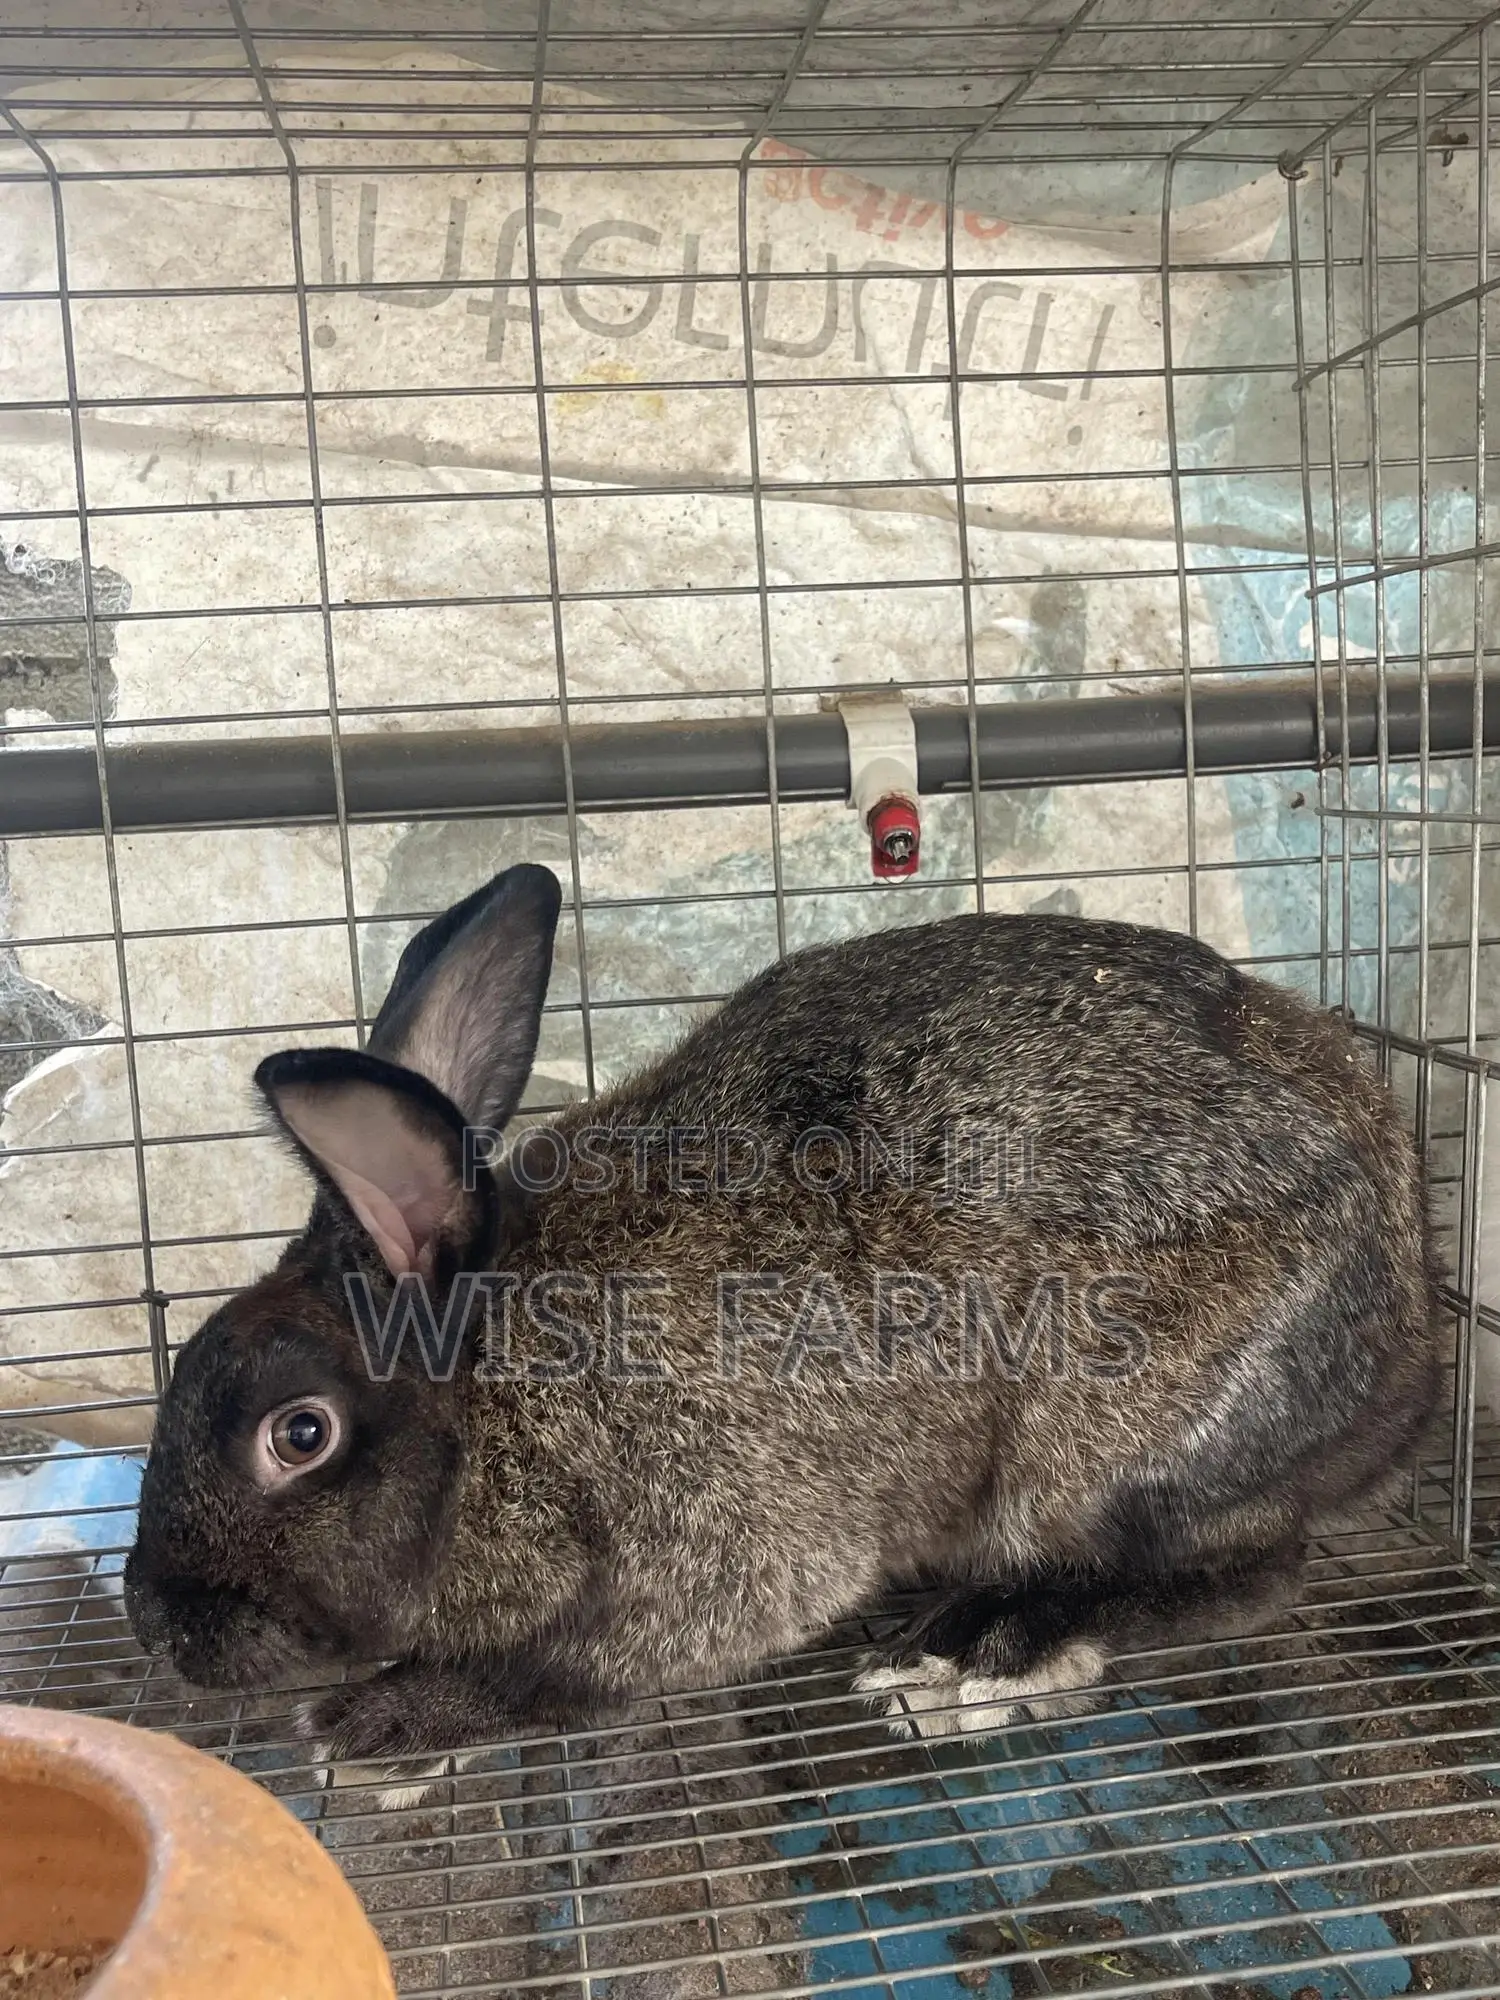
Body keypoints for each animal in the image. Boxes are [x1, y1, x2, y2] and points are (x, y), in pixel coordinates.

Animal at [123, 862, 1442, 1762]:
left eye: (300, 1433)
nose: (154, 1627)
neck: (499, 1394)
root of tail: (1409, 1346)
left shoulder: (714, 1542)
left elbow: (563, 1675)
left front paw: (379, 1716)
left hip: (1107, 1448)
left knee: (1249, 1571)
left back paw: (972, 1654)